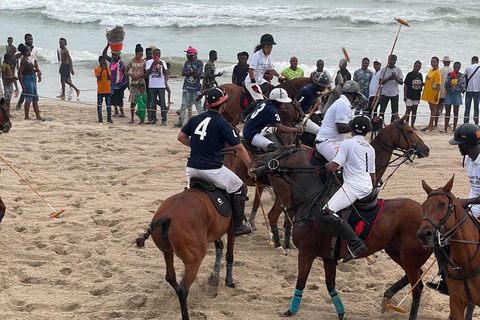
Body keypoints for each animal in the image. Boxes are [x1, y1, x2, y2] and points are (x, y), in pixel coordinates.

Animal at [135, 188, 238, 320]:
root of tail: (168, 216)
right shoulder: (230, 230)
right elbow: (229, 254)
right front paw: (229, 280)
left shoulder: (215, 231)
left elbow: (219, 244)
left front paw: (216, 273)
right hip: (194, 260)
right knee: (182, 289)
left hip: (167, 251)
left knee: (170, 277)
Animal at [253, 145, 434, 320]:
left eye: (279, 151)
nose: (255, 159)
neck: (311, 201)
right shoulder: (328, 256)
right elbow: (330, 285)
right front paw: (341, 312)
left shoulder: (306, 252)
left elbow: (301, 282)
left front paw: (290, 311)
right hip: (396, 252)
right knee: (416, 277)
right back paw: (387, 297)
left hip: (409, 257)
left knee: (417, 288)